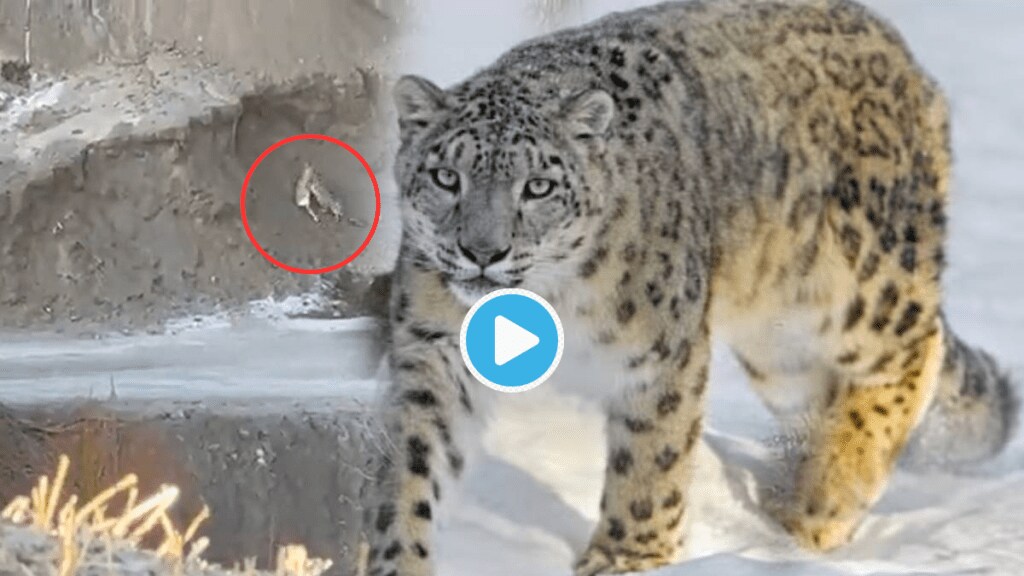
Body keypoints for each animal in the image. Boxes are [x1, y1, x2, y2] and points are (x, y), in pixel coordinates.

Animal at [362, 1, 1015, 573]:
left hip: (853, 285)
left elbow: (653, 456)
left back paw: (823, 506)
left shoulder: (660, 353)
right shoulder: (433, 347)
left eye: (539, 186)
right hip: (779, 349)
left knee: (912, 348)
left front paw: (627, 557)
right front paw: (400, 557)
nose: (482, 251)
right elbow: (410, 463)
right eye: (446, 177)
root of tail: (904, 56)